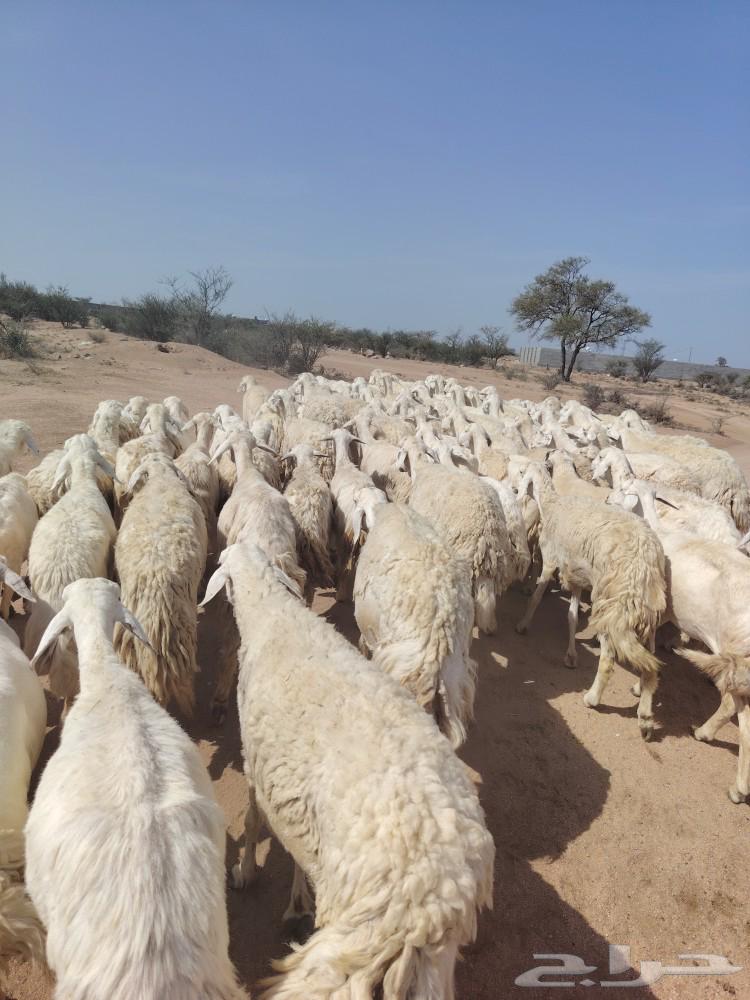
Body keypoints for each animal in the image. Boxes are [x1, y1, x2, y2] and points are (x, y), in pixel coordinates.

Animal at [200, 542, 494, 1000]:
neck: (272, 615)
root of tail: (431, 899)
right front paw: (296, 900)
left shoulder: (254, 762)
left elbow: (251, 822)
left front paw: (245, 873)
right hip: (428, 963)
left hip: (358, 918)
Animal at [515, 463, 666, 740]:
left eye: (522, 474)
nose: (516, 493)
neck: (552, 504)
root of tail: (644, 560)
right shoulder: (577, 577)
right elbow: (572, 616)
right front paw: (571, 655)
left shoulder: (551, 560)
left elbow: (536, 597)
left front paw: (523, 624)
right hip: (649, 608)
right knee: (651, 663)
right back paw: (645, 715)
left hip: (611, 603)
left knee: (607, 660)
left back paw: (593, 698)